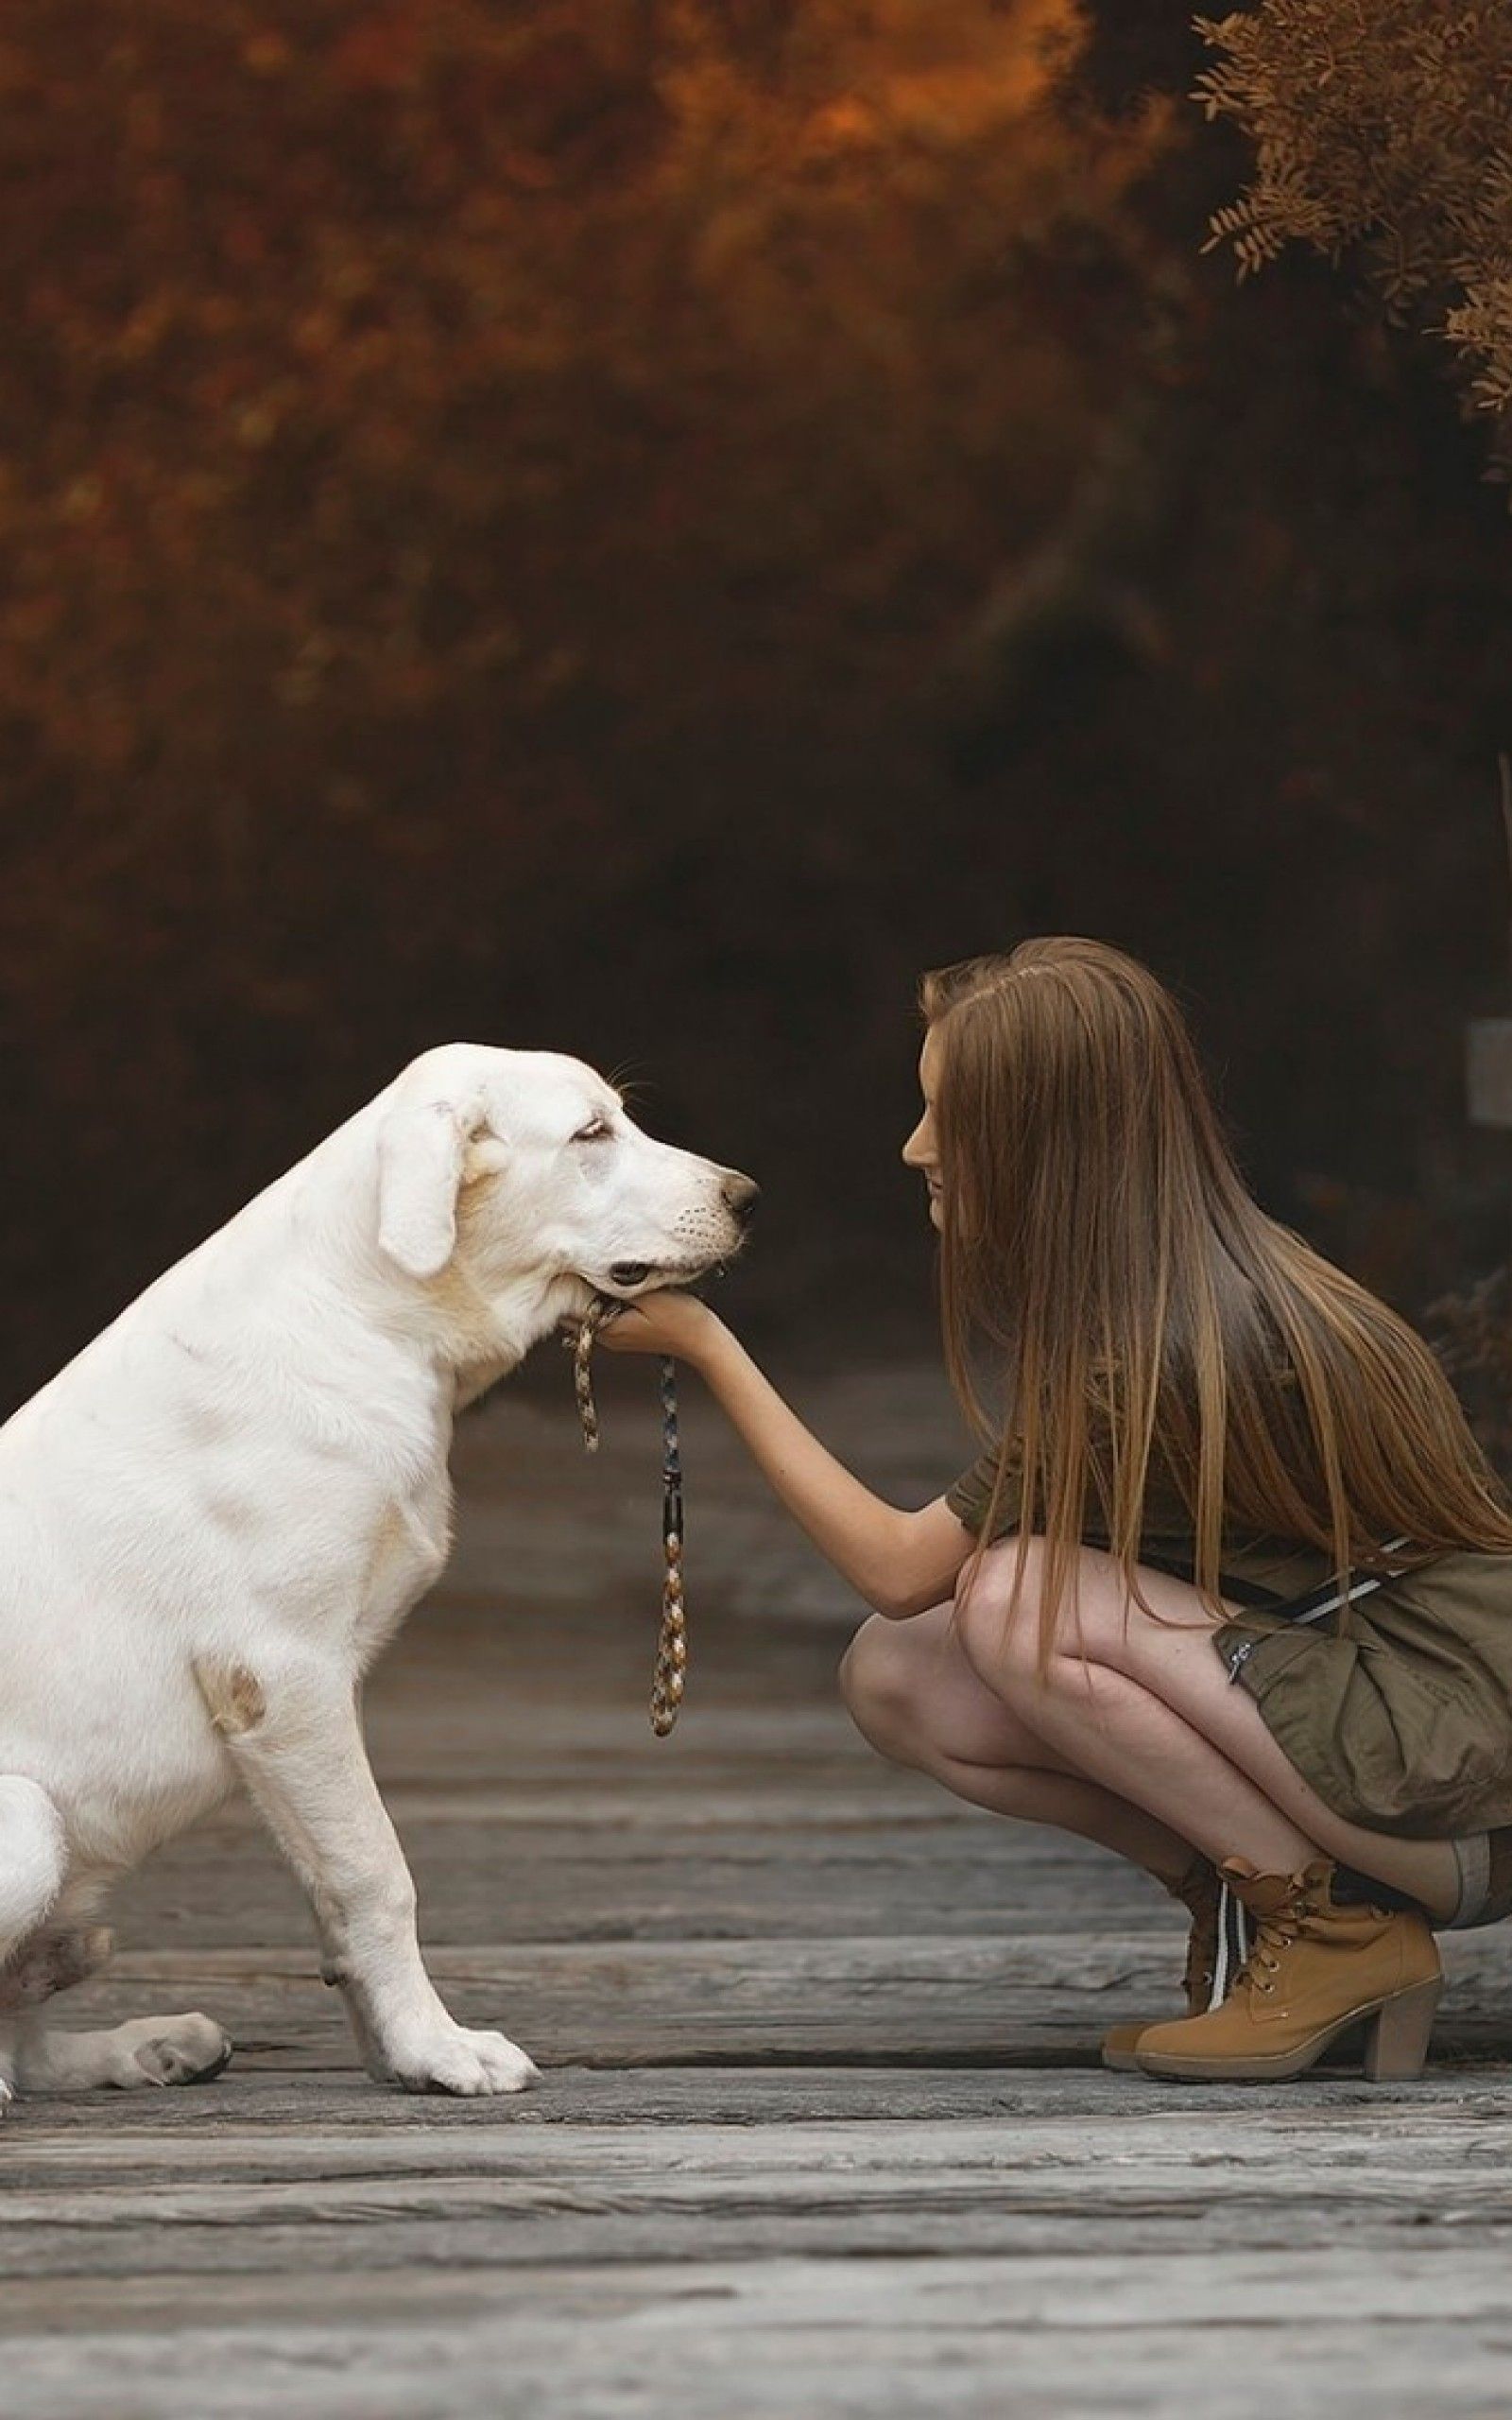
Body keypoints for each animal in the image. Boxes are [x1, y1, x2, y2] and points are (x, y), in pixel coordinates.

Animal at [0, 1040, 754, 2100]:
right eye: (590, 1135)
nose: (748, 1197)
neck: (369, 1321)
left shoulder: (319, 1699)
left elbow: (336, 1883)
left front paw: (398, 2050)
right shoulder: (283, 1674)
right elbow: (375, 1870)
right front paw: (440, 2049)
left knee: (22, 2042)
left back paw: (145, 2046)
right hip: (27, 1819)